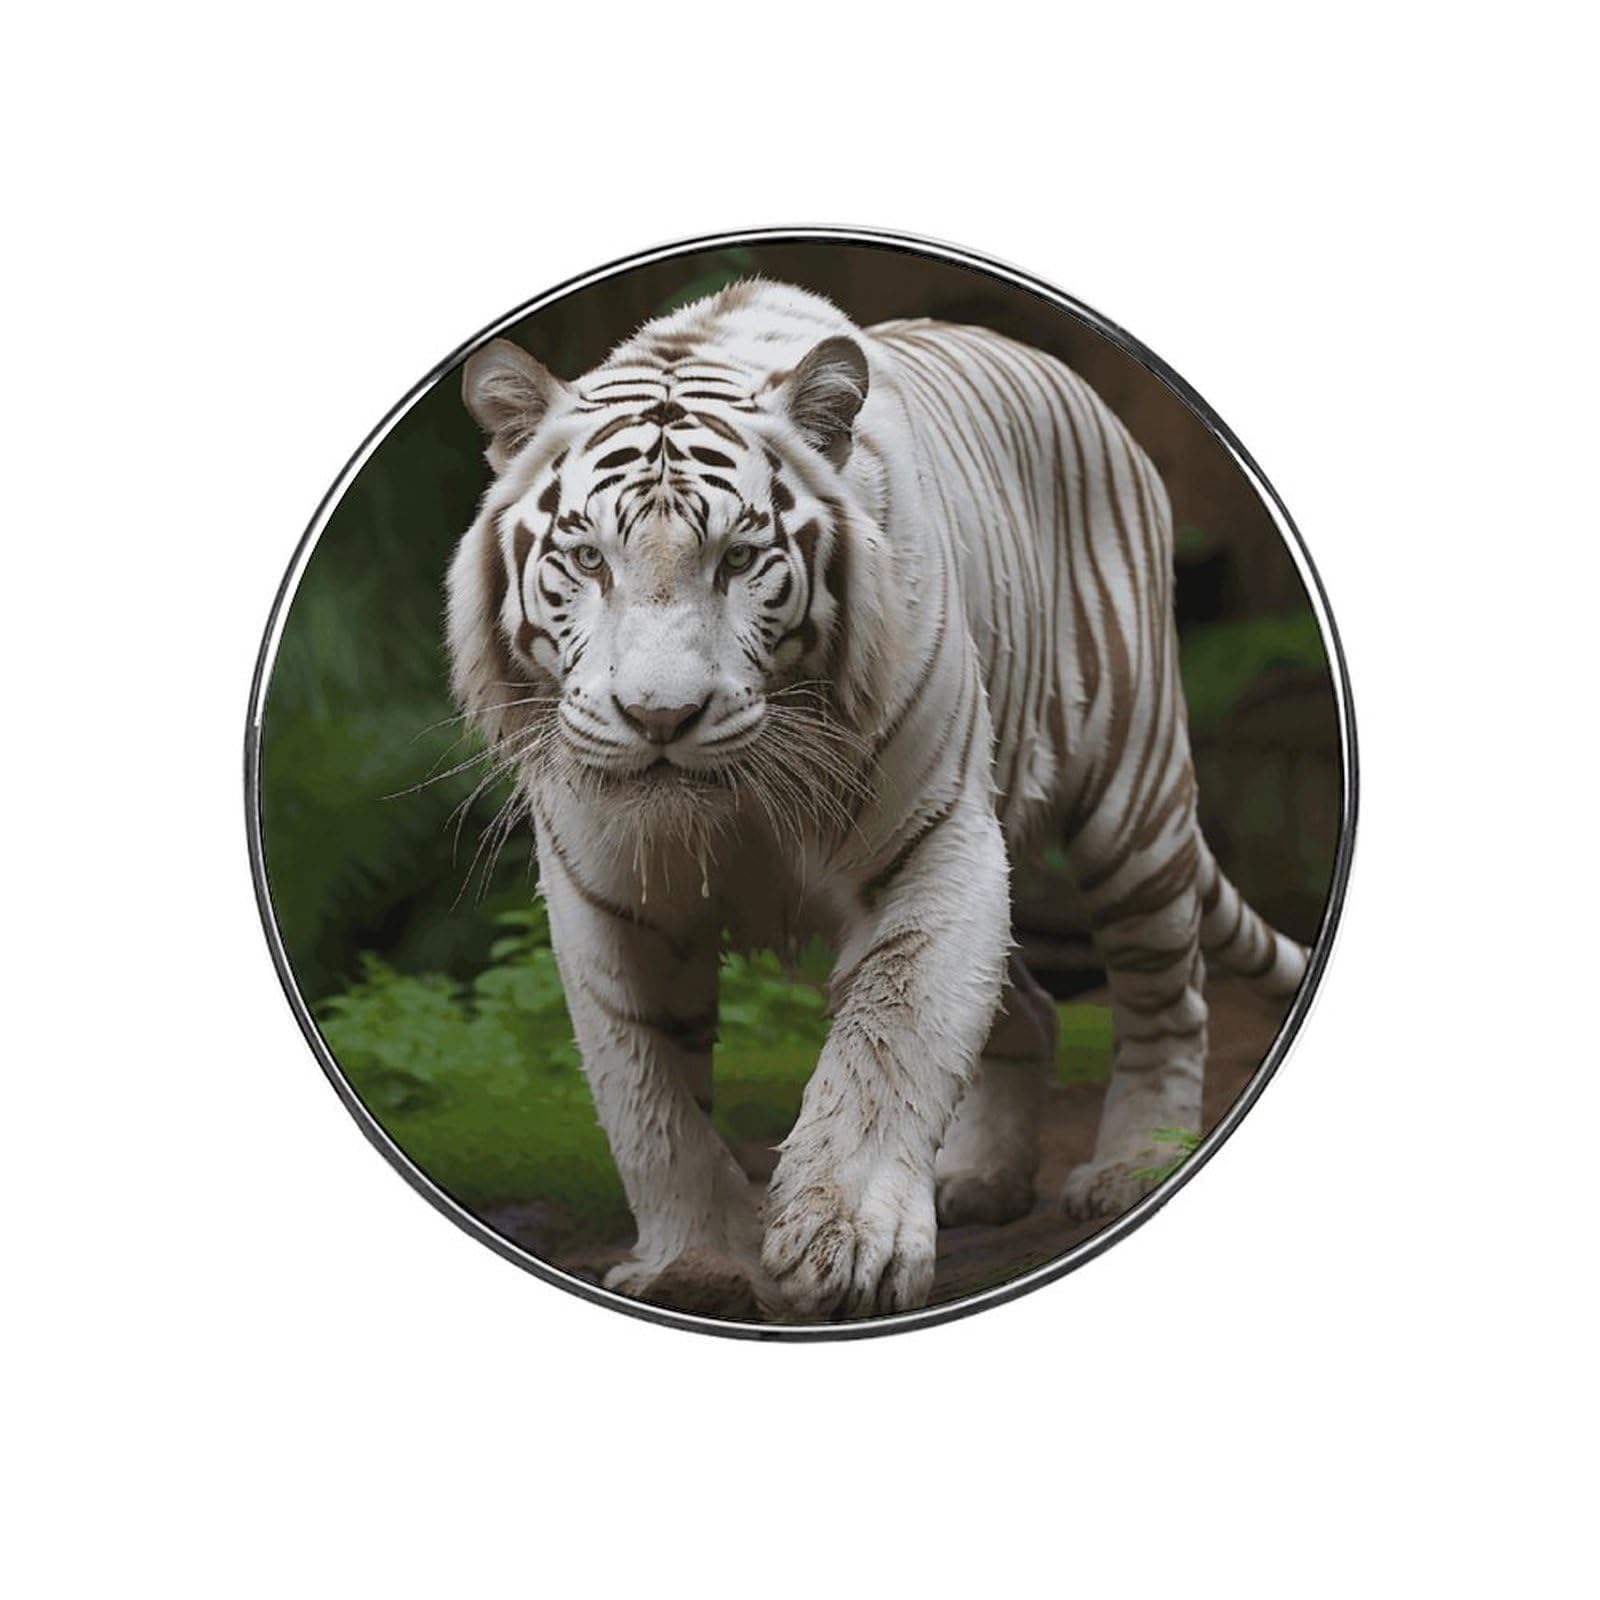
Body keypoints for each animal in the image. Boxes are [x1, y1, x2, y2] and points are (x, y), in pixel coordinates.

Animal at [446, 277, 1307, 1322]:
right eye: (589, 561)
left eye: (739, 559)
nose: (660, 717)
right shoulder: (604, 899)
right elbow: (647, 1098)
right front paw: (695, 1263)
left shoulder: (936, 844)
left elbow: (892, 1040)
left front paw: (848, 1245)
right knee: (1031, 1008)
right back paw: (979, 1179)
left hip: (1130, 797)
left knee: (1165, 994)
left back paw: (1136, 1164)